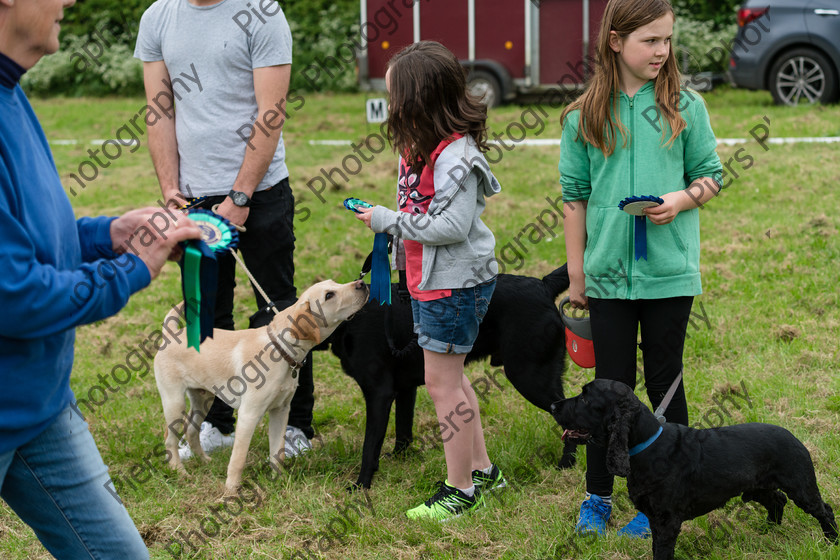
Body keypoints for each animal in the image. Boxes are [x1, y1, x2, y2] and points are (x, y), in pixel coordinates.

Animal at [316, 264, 576, 488]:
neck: (350, 318)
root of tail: (543, 285)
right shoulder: (405, 390)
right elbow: (403, 429)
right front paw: (400, 459)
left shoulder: (379, 394)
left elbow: (369, 445)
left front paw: (361, 485)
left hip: (529, 375)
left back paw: (567, 464)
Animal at [552, 380, 832, 560]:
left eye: (585, 398)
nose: (554, 406)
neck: (649, 444)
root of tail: (794, 437)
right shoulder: (655, 520)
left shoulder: (667, 522)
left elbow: (662, 553)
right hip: (757, 488)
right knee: (777, 500)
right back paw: (769, 530)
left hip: (801, 486)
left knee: (824, 510)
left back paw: (832, 541)